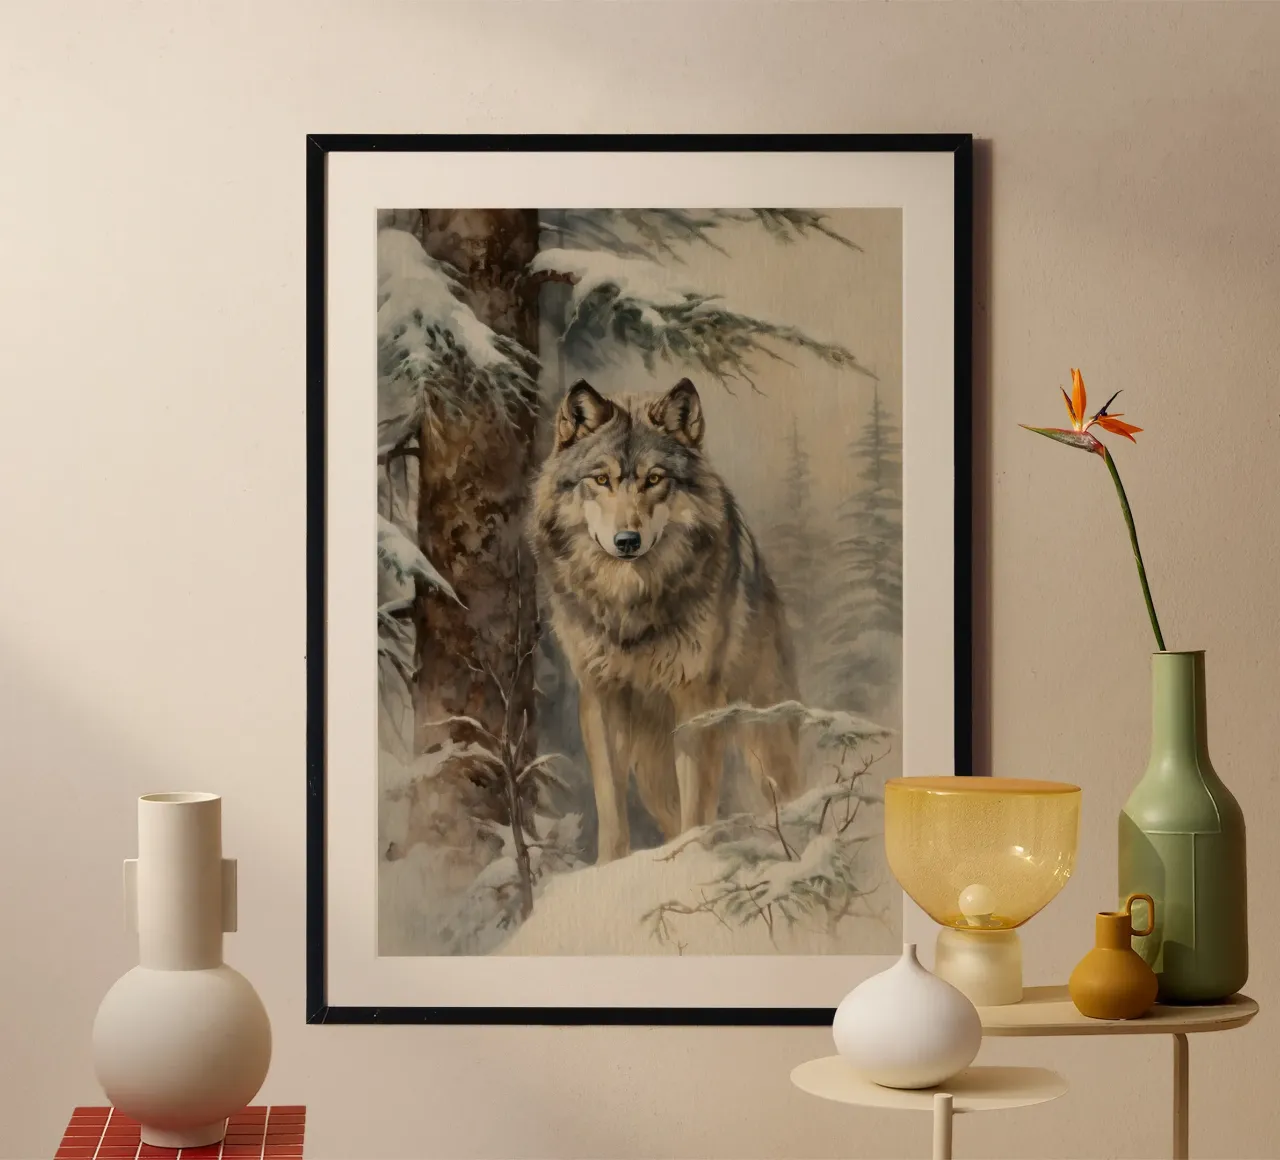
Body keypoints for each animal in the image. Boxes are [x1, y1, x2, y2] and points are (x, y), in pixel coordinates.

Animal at [529, 377, 801, 864]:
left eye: (654, 479)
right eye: (601, 479)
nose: (627, 540)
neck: (631, 606)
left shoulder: (697, 699)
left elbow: (698, 807)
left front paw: (693, 863)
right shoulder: (601, 698)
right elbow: (611, 808)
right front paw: (610, 869)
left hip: (765, 736)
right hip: (651, 770)